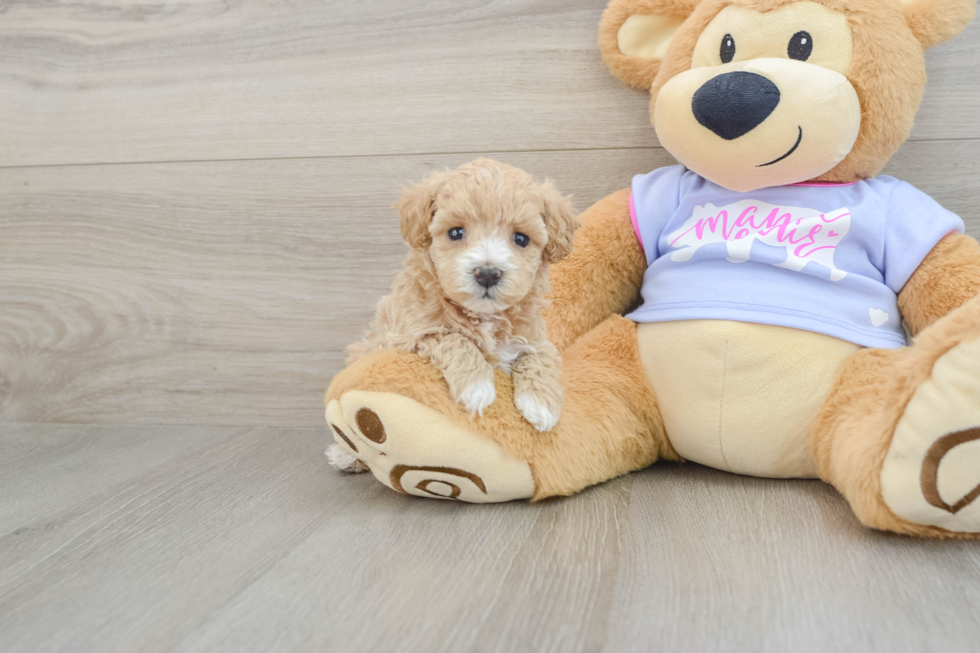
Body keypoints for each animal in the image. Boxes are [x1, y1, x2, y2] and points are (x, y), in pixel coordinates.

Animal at [326, 158, 580, 474]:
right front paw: (477, 386)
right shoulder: (407, 337)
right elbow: (453, 338)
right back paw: (345, 455)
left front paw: (541, 404)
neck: (481, 315)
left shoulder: (536, 337)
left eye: (521, 238)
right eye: (456, 233)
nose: (487, 273)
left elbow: (541, 358)